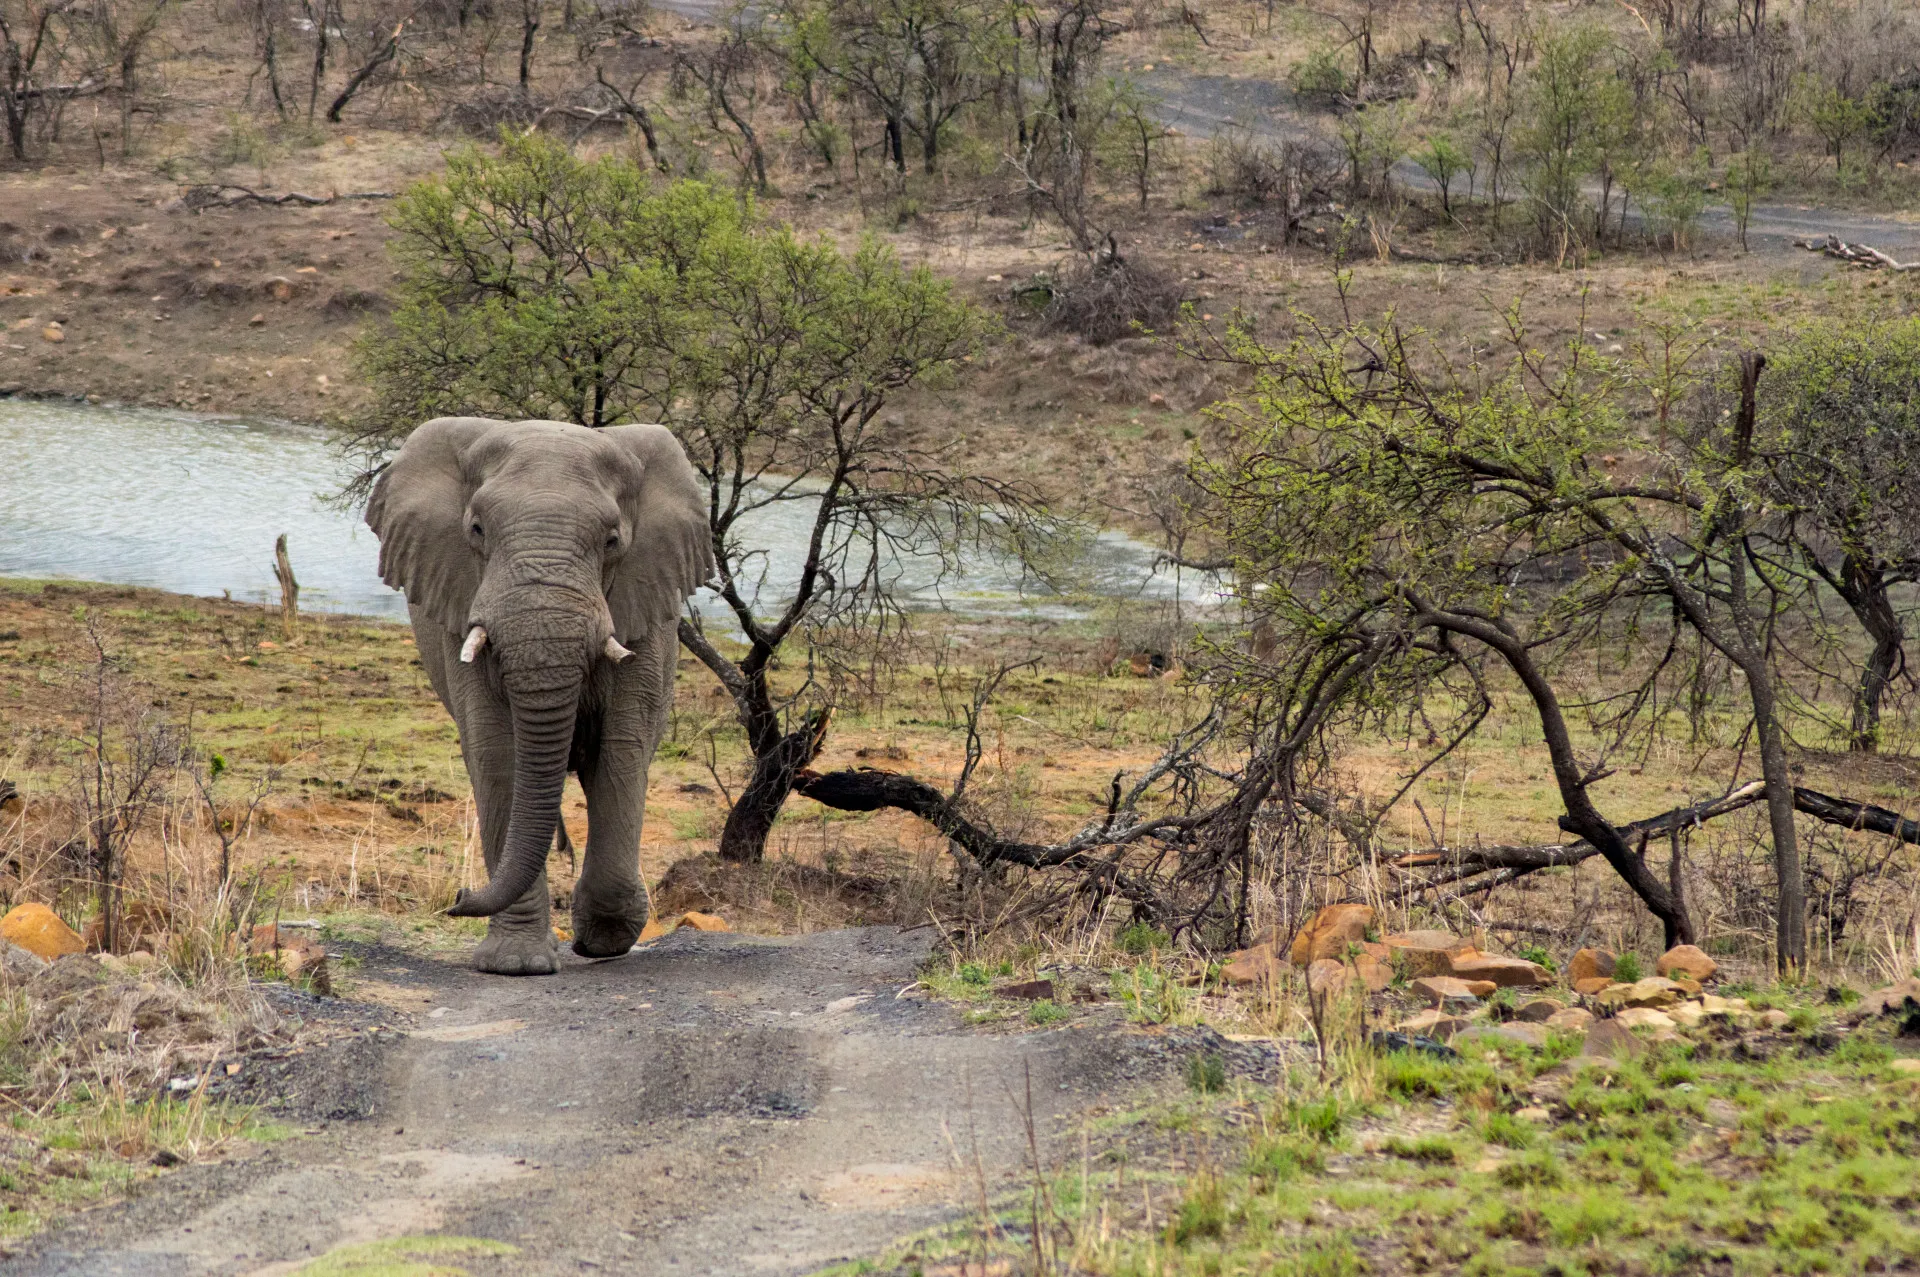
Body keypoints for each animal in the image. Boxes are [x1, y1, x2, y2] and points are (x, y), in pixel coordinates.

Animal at [366, 417, 713, 975]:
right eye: (476, 529)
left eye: (612, 540)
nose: (458, 897)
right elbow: (497, 755)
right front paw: (516, 965)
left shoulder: (646, 615)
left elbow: (620, 752)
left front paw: (603, 941)